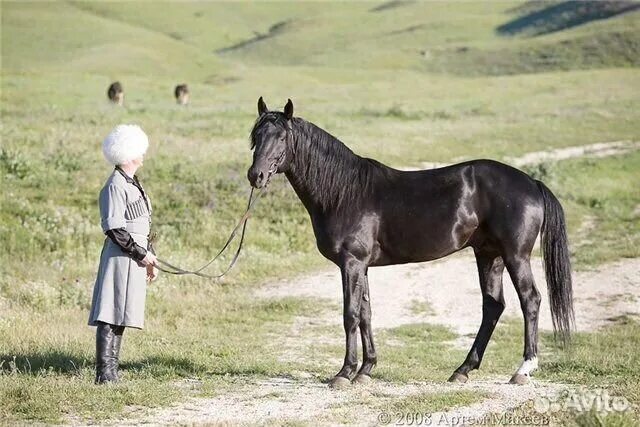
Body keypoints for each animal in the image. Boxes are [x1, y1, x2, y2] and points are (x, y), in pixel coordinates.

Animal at [246, 98, 576, 390]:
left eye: (281, 137)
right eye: (256, 136)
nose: (255, 175)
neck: (344, 193)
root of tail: (532, 183)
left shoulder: (351, 262)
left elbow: (350, 314)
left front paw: (344, 373)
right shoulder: (361, 266)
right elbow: (366, 314)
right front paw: (366, 370)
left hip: (515, 255)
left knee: (530, 300)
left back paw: (523, 369)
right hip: (488, 255)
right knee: (493, 306)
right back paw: (462, 370)